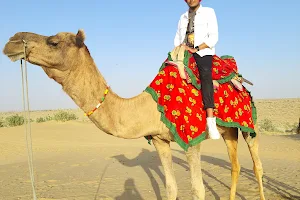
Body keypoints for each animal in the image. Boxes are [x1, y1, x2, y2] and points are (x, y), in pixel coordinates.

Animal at [2, 29, 264, 200]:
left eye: (53, 42)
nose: (12, 41)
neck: (148, 107)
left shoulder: (191, 140)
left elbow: (197, 190)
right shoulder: (159, 140)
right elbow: (171, 188)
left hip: (248, 123)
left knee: (257, 165)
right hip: (229, 129)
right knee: (235, 166)